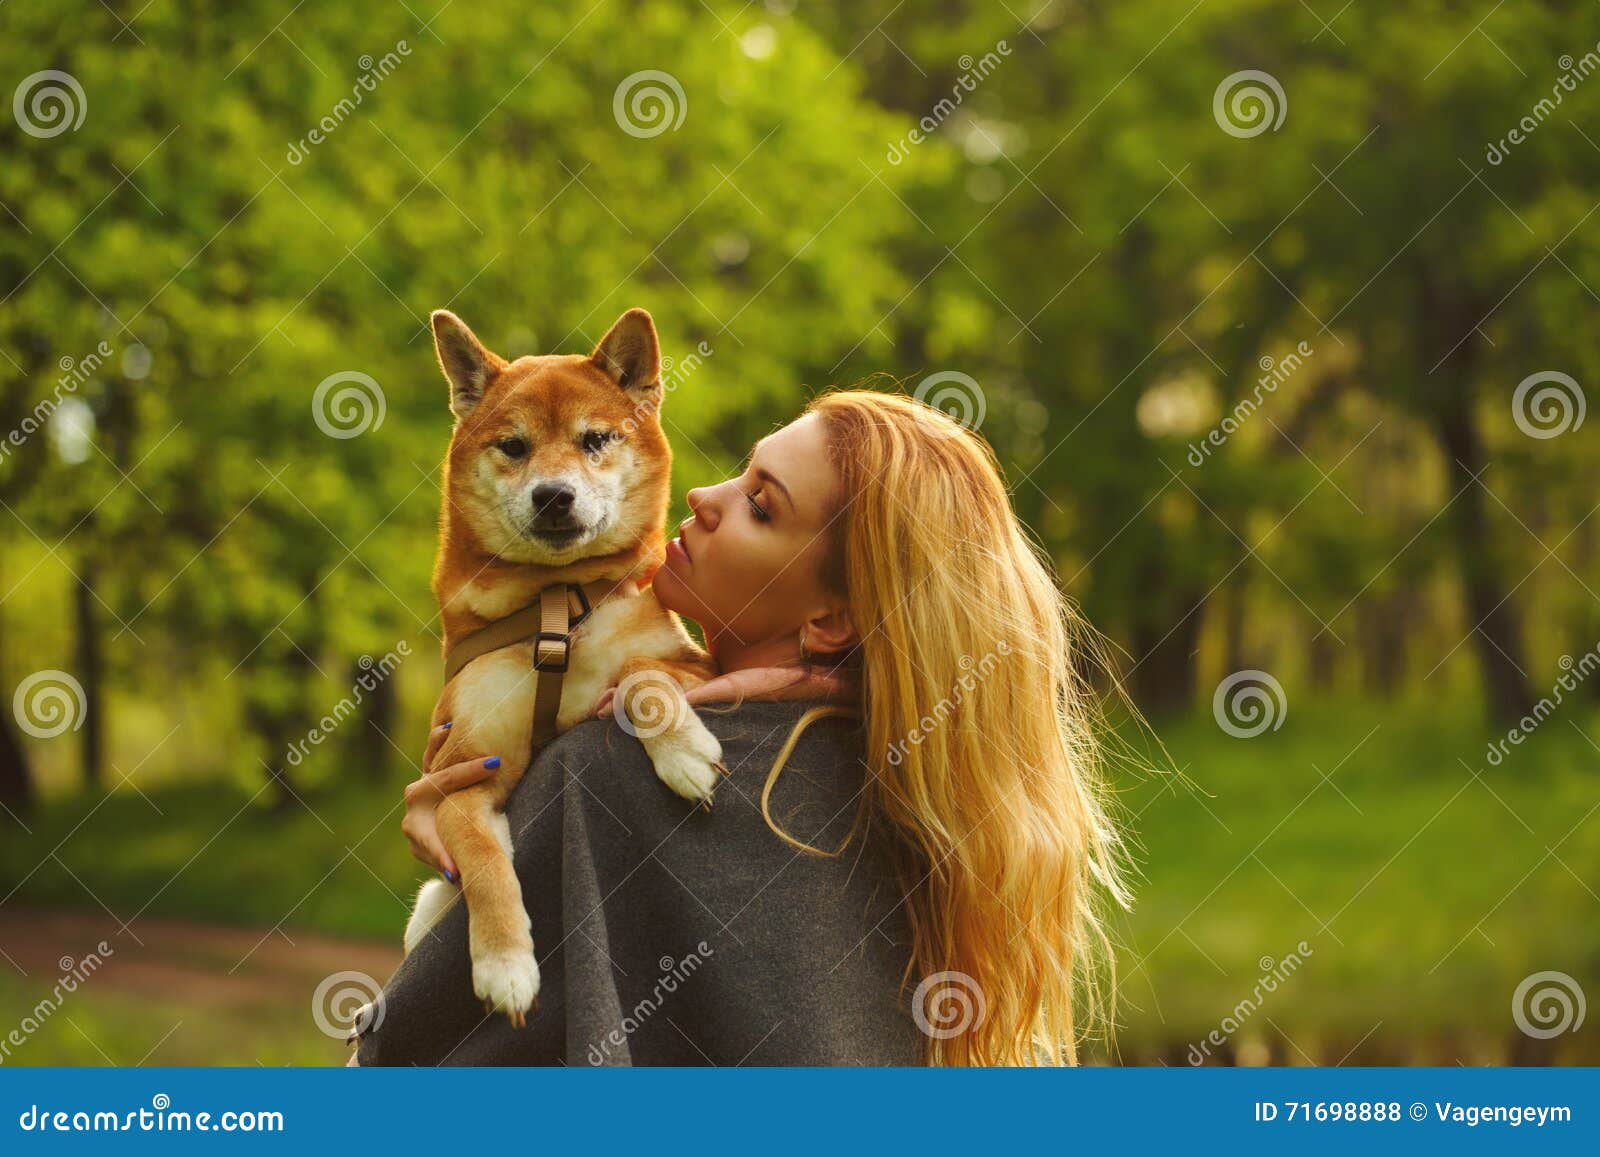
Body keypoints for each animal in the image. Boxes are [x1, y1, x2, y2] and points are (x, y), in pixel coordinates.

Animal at [403, 305, 723, 1024]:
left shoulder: (700, 668)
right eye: (514, 446)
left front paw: (684, 753)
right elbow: (481, 858)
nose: (553, 495)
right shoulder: (465, 769)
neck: (556, 607)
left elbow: (639, 673)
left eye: (595, 438)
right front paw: (503, 964)